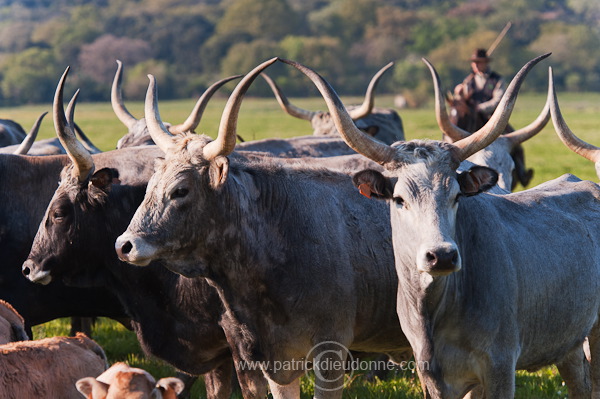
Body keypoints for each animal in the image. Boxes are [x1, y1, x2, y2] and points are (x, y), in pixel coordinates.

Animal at [284, 57, 600, 399]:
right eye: (399, 199)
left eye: (457, 196)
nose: (442, 256)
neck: (435, 310)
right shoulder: (432, 378)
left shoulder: (500, 367)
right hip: (568, 342)